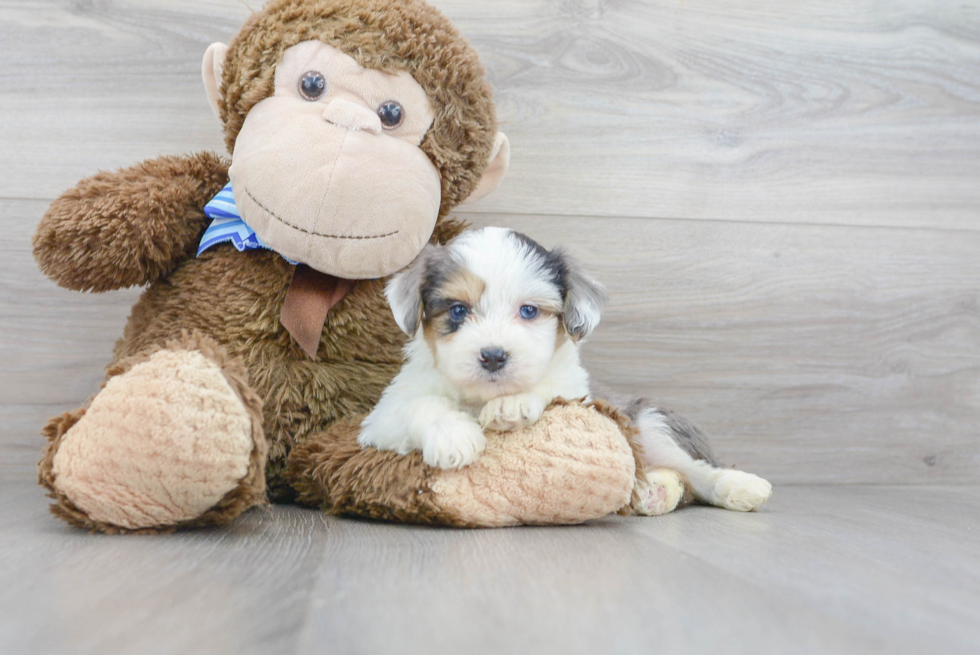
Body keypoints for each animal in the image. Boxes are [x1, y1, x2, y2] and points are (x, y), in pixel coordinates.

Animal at [360, 228, 772, 516]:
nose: (493, 356)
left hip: (650, 424)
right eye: (458, 311)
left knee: (696, 471)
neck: (481, 397)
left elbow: (550, 389)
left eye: (528, 311)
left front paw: (512, 405)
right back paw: (653, 490)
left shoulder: (579, 393)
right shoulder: (381, 418)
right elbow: (422, 405)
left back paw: (737, 486)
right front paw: (453, 435)